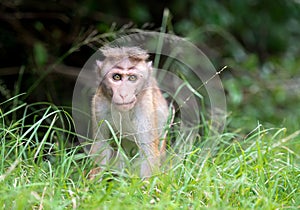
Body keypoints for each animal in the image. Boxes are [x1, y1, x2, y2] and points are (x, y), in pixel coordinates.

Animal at [88, 46, 169, 179]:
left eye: (132, 78)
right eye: (116, 77)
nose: (123, 94)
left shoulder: (145, 108)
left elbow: (147, 151)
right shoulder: (99, 105)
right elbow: (102, 144)